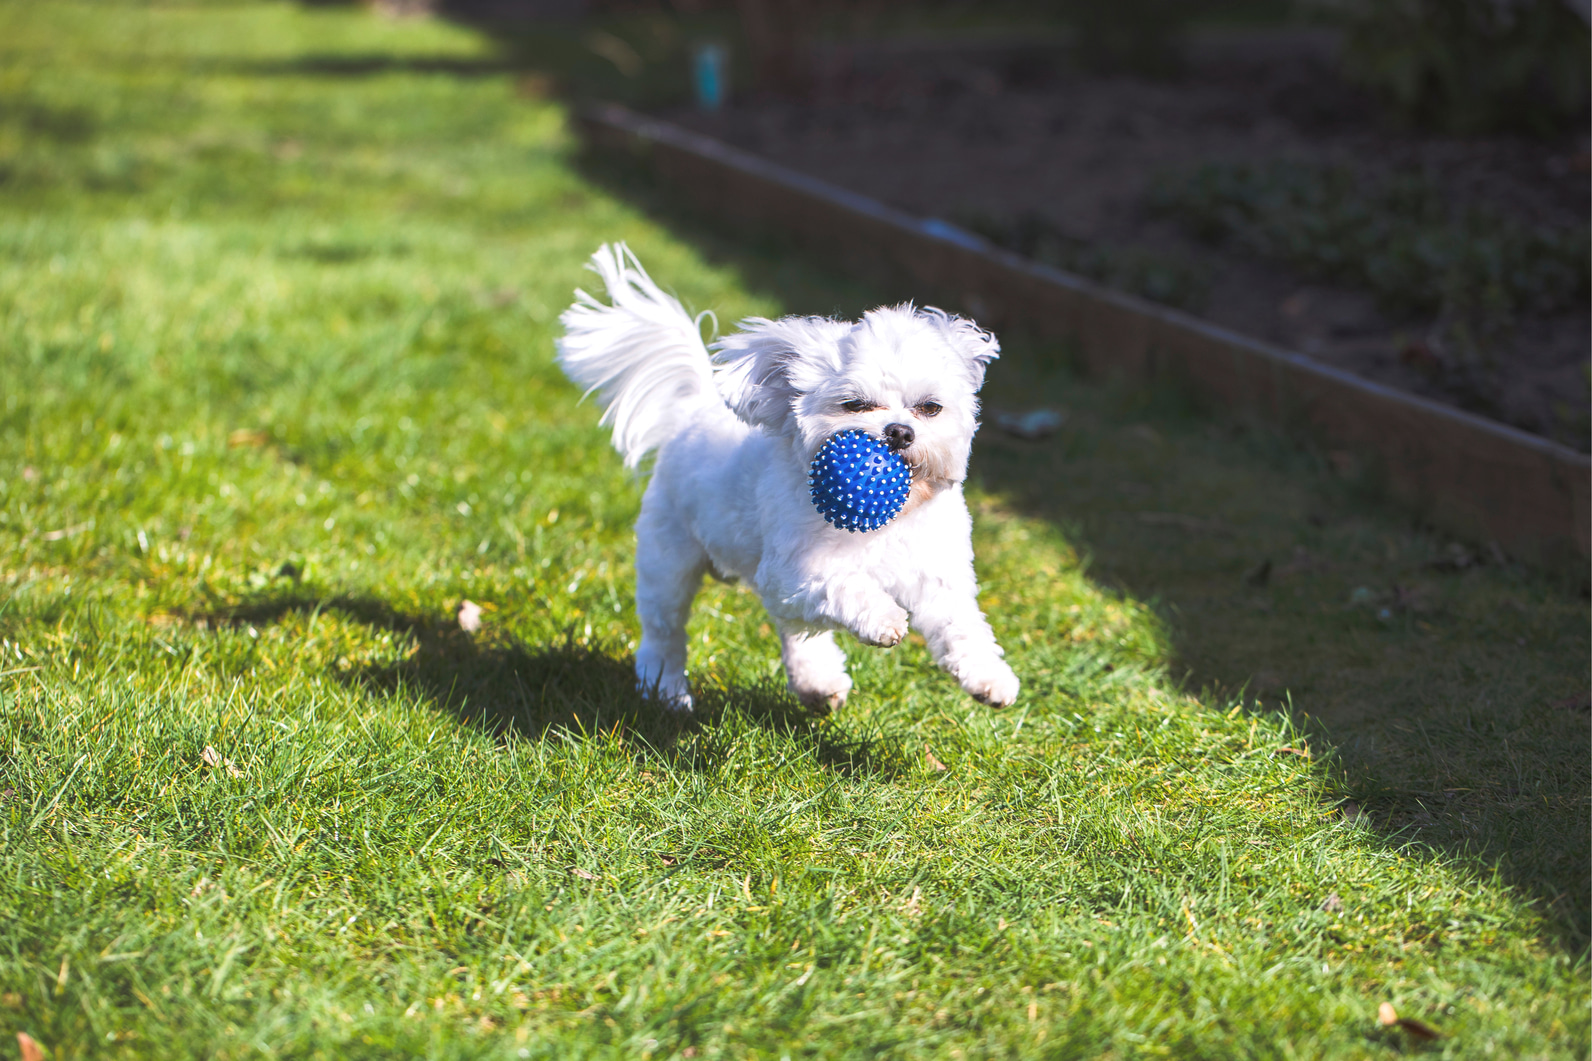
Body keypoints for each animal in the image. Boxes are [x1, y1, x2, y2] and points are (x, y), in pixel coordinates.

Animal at [554, 242, 1012, 710]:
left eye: (930, 408)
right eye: (854, 404)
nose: (899, 431)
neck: (889, 523)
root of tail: (692, 410)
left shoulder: (937, 576)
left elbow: (962, 626)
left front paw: (989, 677)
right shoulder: (794, 572)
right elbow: (847, 585)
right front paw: (884, 617)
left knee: (796, 632)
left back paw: (817, 682)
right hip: (668, 557)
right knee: (665, 629)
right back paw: (665, 689)